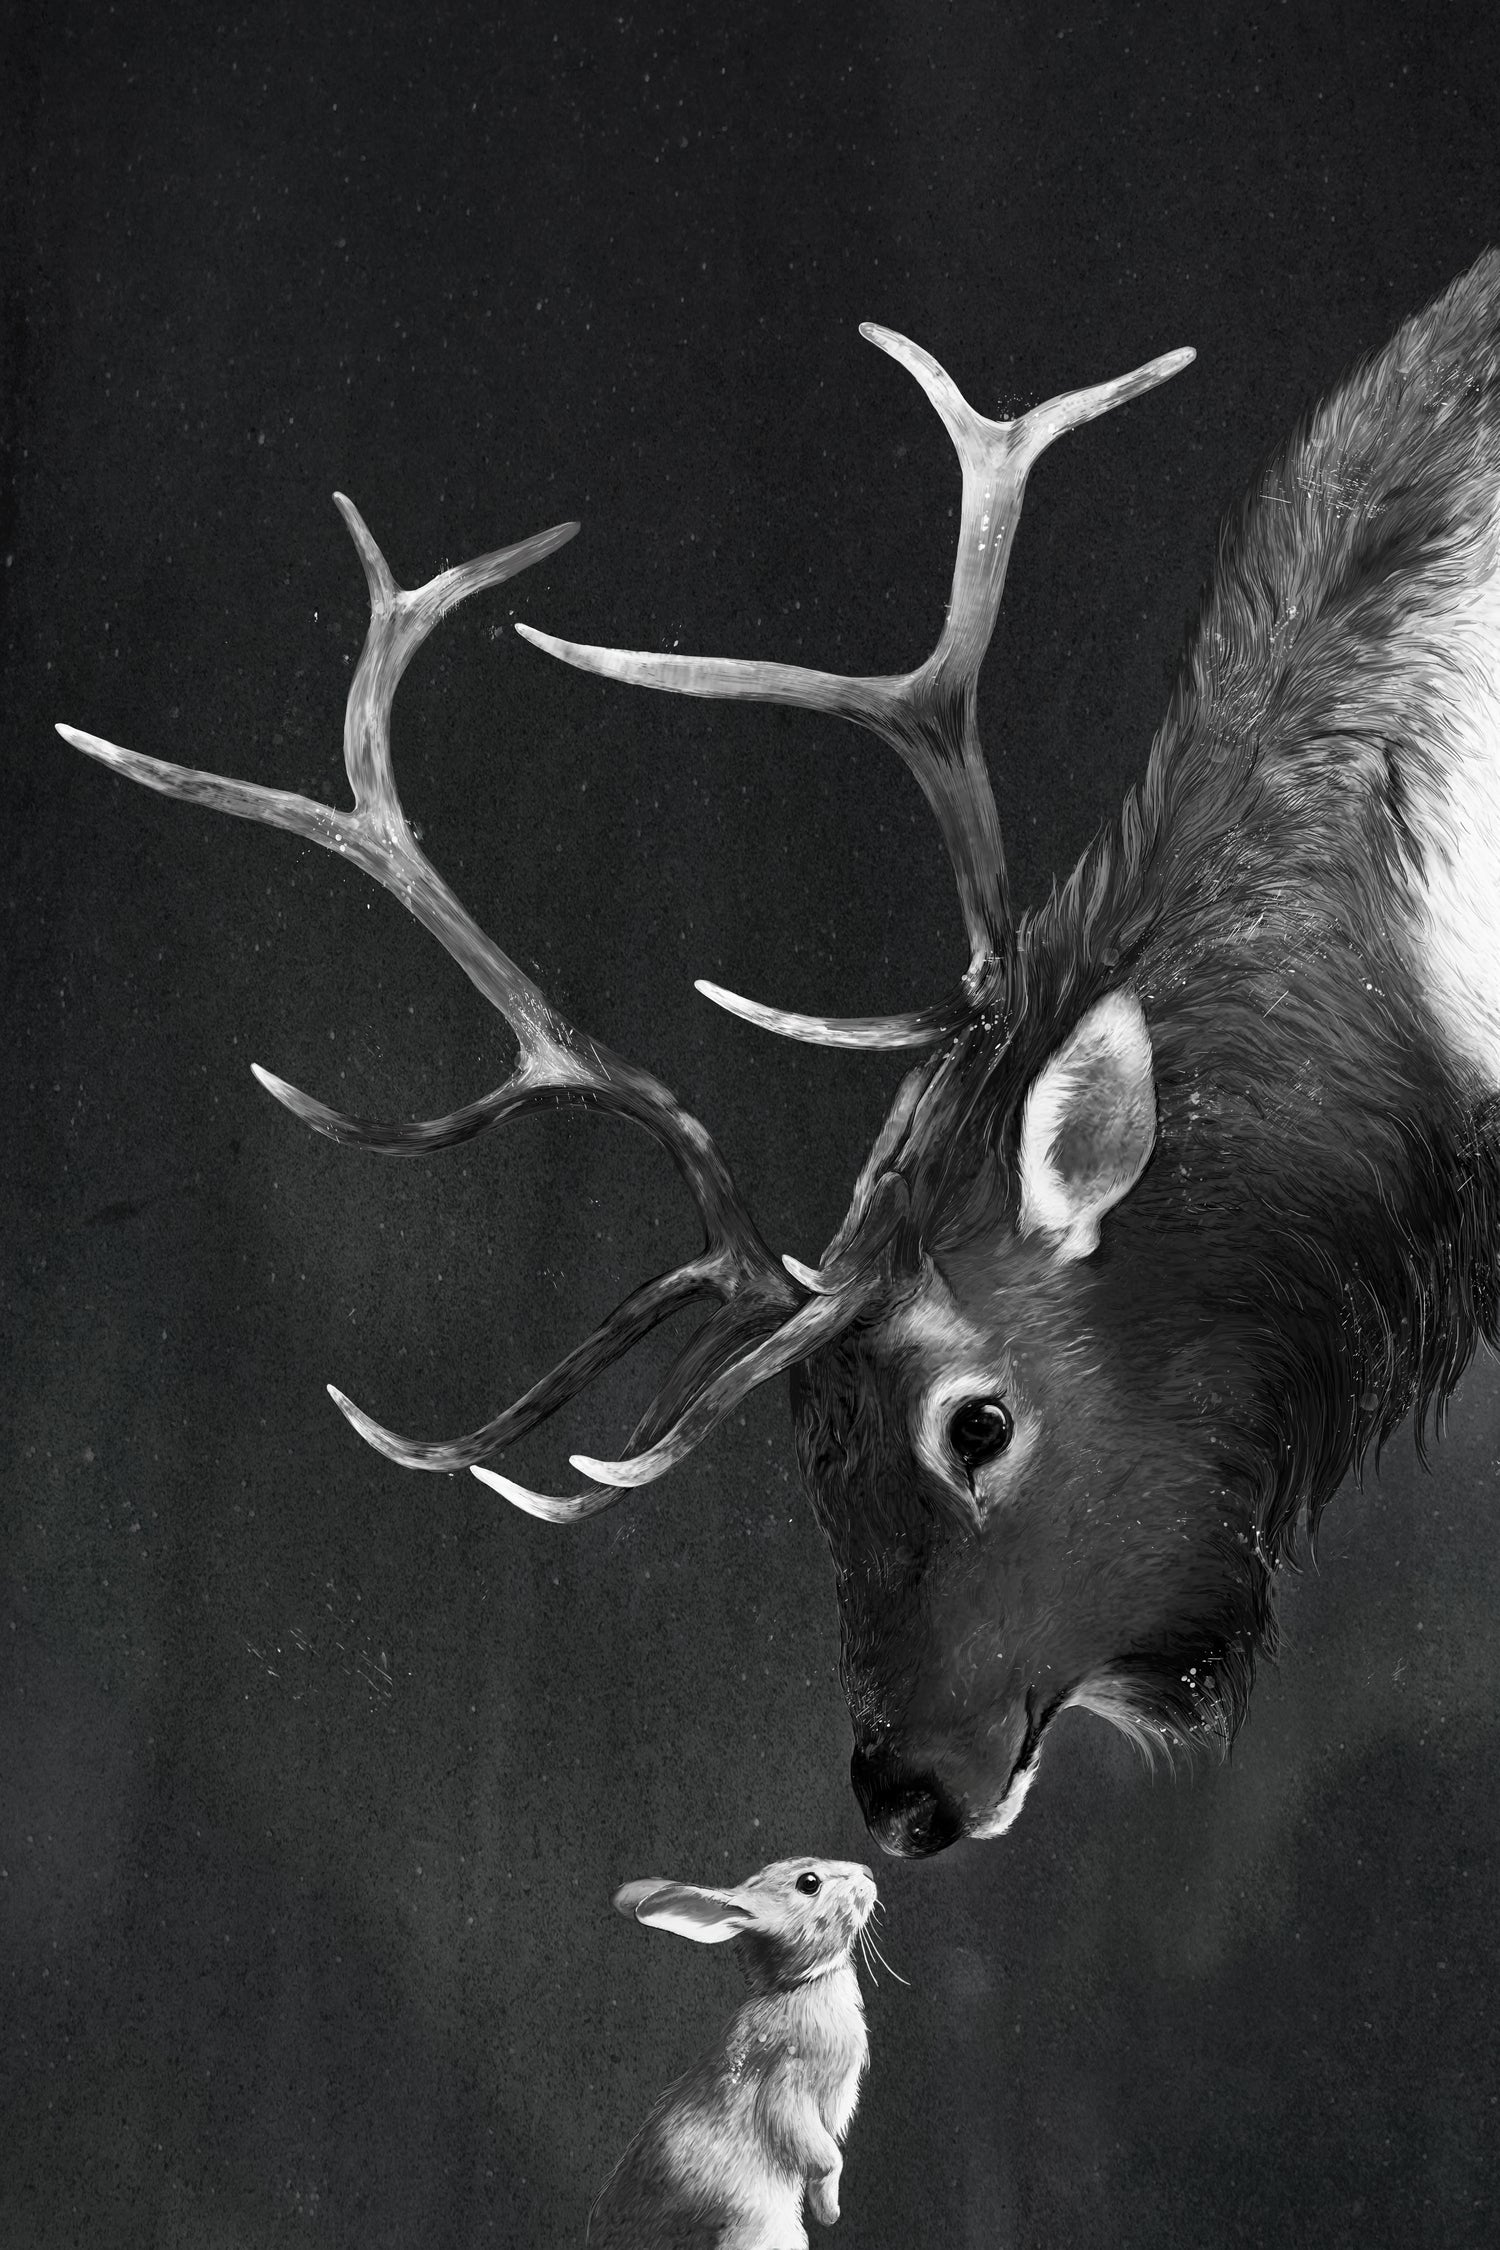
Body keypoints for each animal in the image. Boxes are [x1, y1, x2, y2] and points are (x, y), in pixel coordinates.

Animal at [587, 1856, 878, 2250]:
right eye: (809, 1883)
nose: (869, 1873)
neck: (796, 1986)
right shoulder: (789, 2084)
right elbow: (825, 2158)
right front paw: (830, 2213)